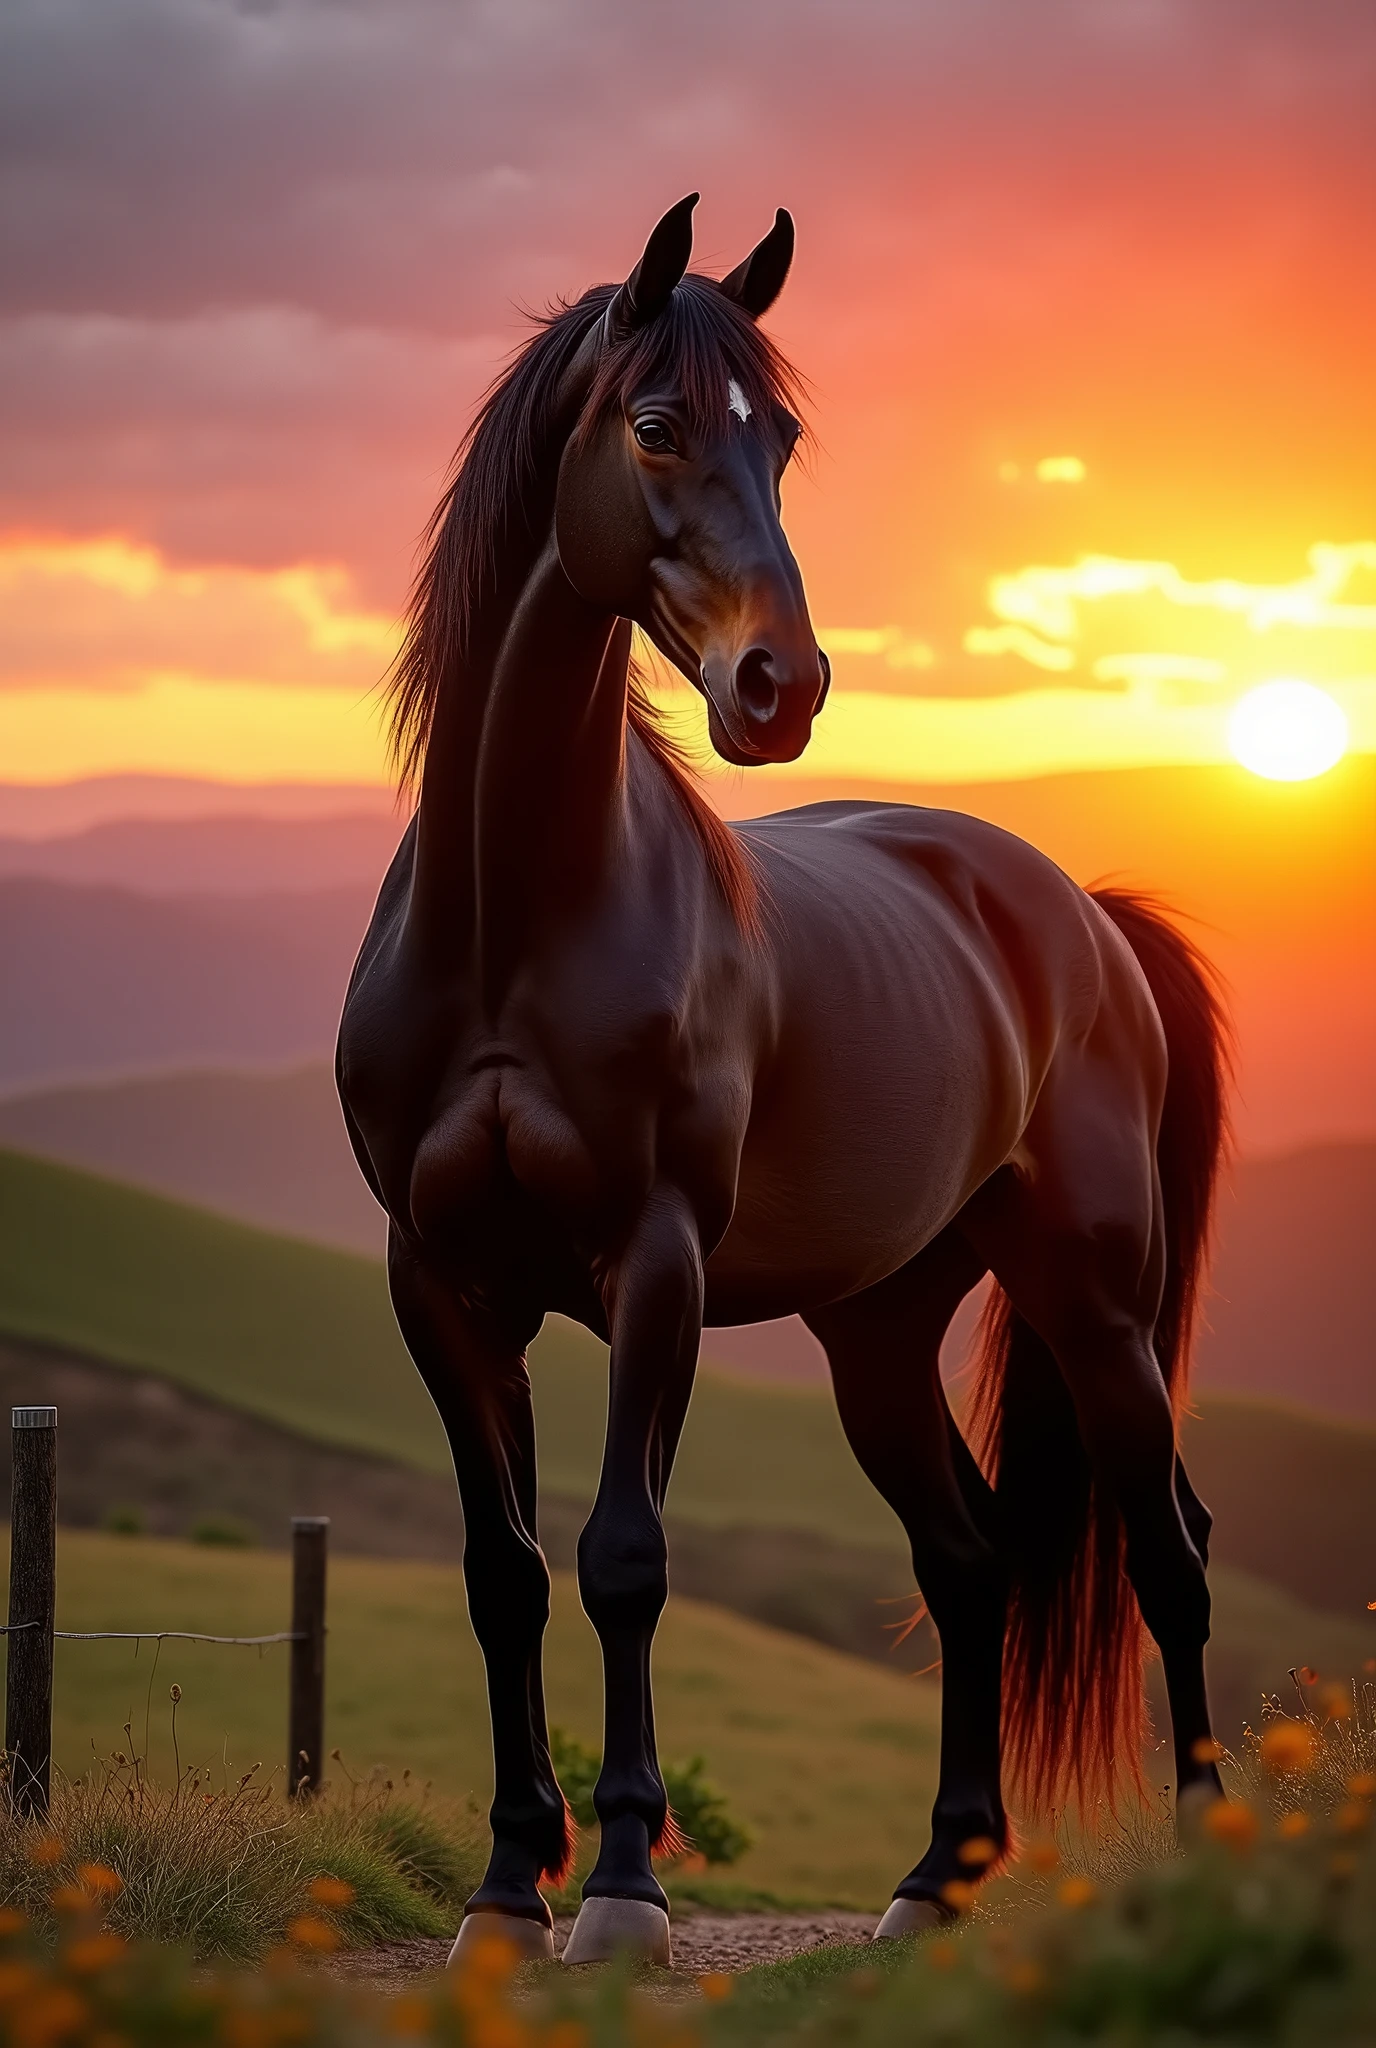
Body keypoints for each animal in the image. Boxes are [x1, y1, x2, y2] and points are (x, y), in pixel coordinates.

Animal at [335, 195, 1228, 1966]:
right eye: (656, 426)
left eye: (786, 441)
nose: (782, 685)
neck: (512, 918)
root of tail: (1081, 912)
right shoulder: (442, 1284)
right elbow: (503, 1570)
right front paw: (506, 1891)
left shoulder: (655, 1266)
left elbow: (622, 1555)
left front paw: (622, 1891)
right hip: (877, 1327)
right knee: (973, 1561)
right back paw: (934, 1880)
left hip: (1095, 1304)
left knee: (1168, 1550)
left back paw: (1222, 1861)